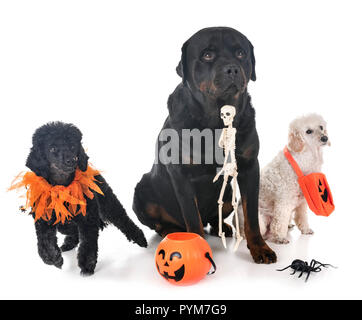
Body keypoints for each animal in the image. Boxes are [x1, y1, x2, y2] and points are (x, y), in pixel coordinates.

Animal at [25, 121, 147, 276]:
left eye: (72, 146)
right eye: (52, 148)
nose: (71, 160)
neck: (63, 186)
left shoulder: (88, 219)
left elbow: (88, 245)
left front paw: (87, 266)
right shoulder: (43, 220)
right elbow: (44, 244)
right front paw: (54, 258)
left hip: (108, 203)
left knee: (123, 219)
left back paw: (140, 238)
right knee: (71, 230)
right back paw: (68, 243)